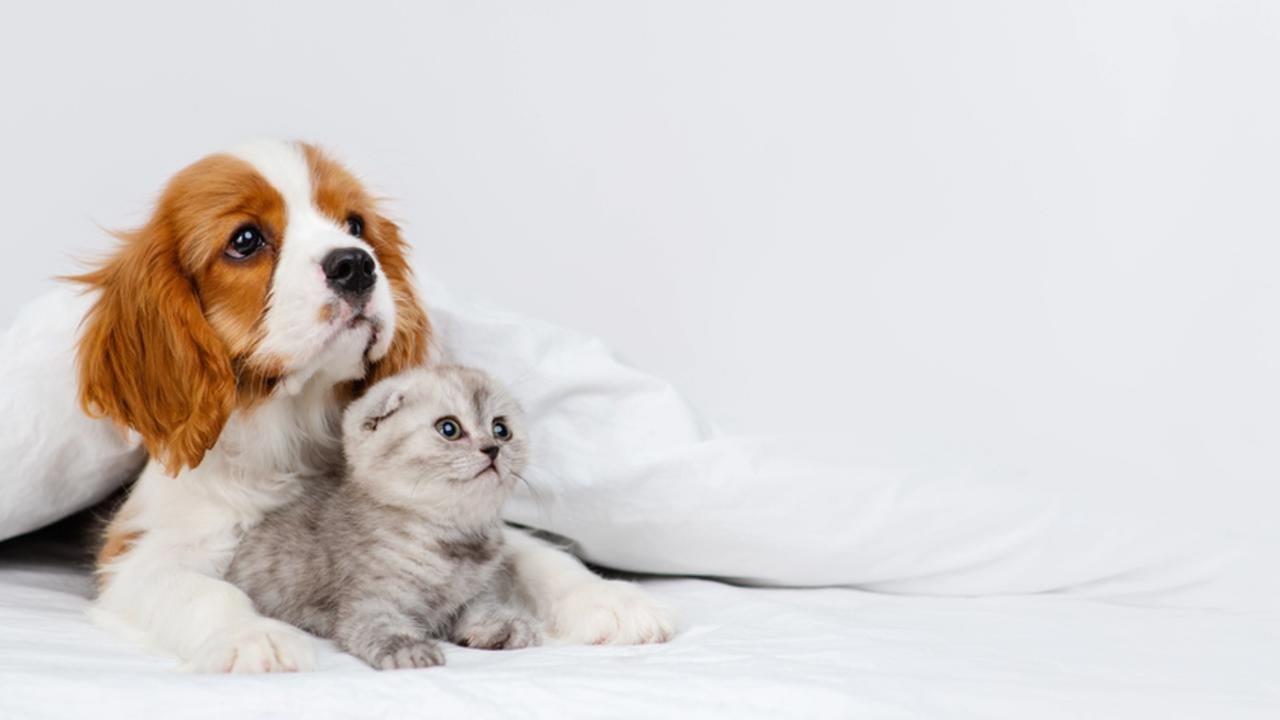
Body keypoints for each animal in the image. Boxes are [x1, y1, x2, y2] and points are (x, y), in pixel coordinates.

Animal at [225, 363, 540, 666]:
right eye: (449, 429)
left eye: (501, 429)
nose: (493, 449)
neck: (450, 542)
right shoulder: (369, 601)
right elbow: (381, 627)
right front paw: (410, 649)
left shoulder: (476, 592)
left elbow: (480, 610)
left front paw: (501, 628)